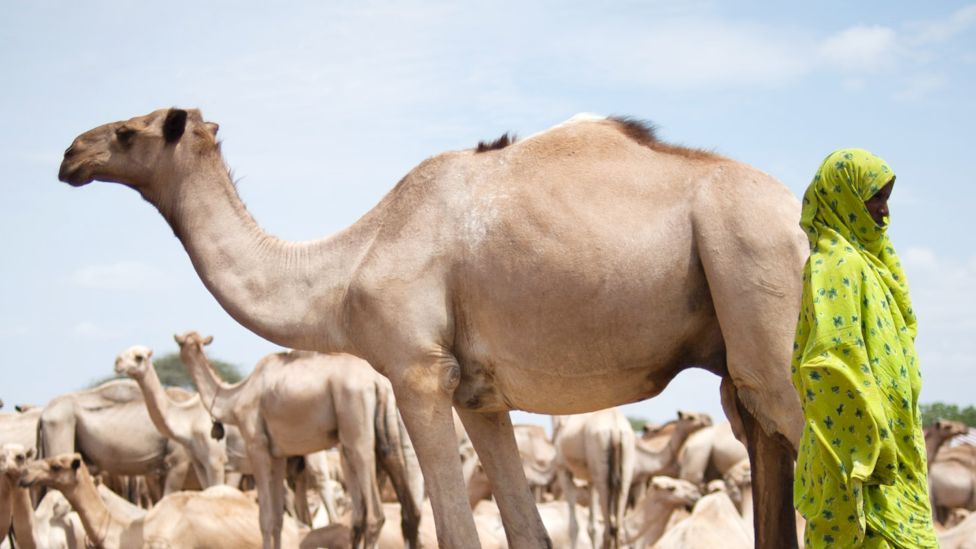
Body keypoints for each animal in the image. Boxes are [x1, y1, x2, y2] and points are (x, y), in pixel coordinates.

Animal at [113, 345, 227, 488]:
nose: (117, 363)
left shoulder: (215, 460)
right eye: (123, 353)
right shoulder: (199, 462)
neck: (189, 419)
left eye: (139, 357)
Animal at [175, 331, 423, 549]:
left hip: (356, 428)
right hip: (387, 429)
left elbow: (265, 519)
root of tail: (377, 382)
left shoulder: (257, 446)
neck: (236, 397)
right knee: (406, 509)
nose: (180, 346)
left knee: (374, 515)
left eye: (182, 344)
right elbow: (278, 518)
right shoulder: (277, 455)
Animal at [552, 408, 636, 549]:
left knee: (608, 528)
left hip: (600, 464)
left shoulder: (563, 470)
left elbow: (573, 526)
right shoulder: (590, 479)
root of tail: (615, 429)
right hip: (625, 464)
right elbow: (592, 528)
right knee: (617, 526)